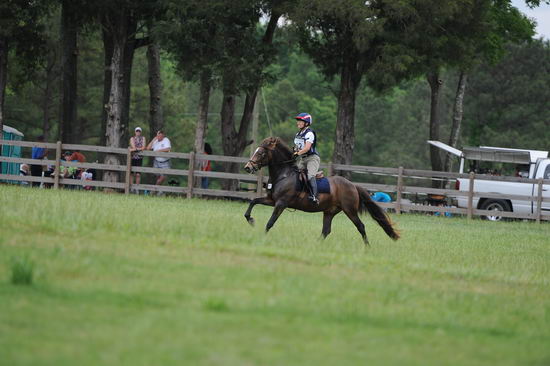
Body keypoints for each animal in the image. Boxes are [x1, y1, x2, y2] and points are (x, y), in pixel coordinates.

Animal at [246, 137, 402, 246]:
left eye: (261, 153)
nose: (247, 167)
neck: (284, 175)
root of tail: (353, 185)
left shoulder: (281, 203)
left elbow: (270, 222)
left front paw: (262, 237)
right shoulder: (272, 200)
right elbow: (253, 202)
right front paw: (251, 220)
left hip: (349, 210)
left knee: (360, 226)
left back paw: (367, 247)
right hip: (329, 212)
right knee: (326, 231)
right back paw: (316, 245)